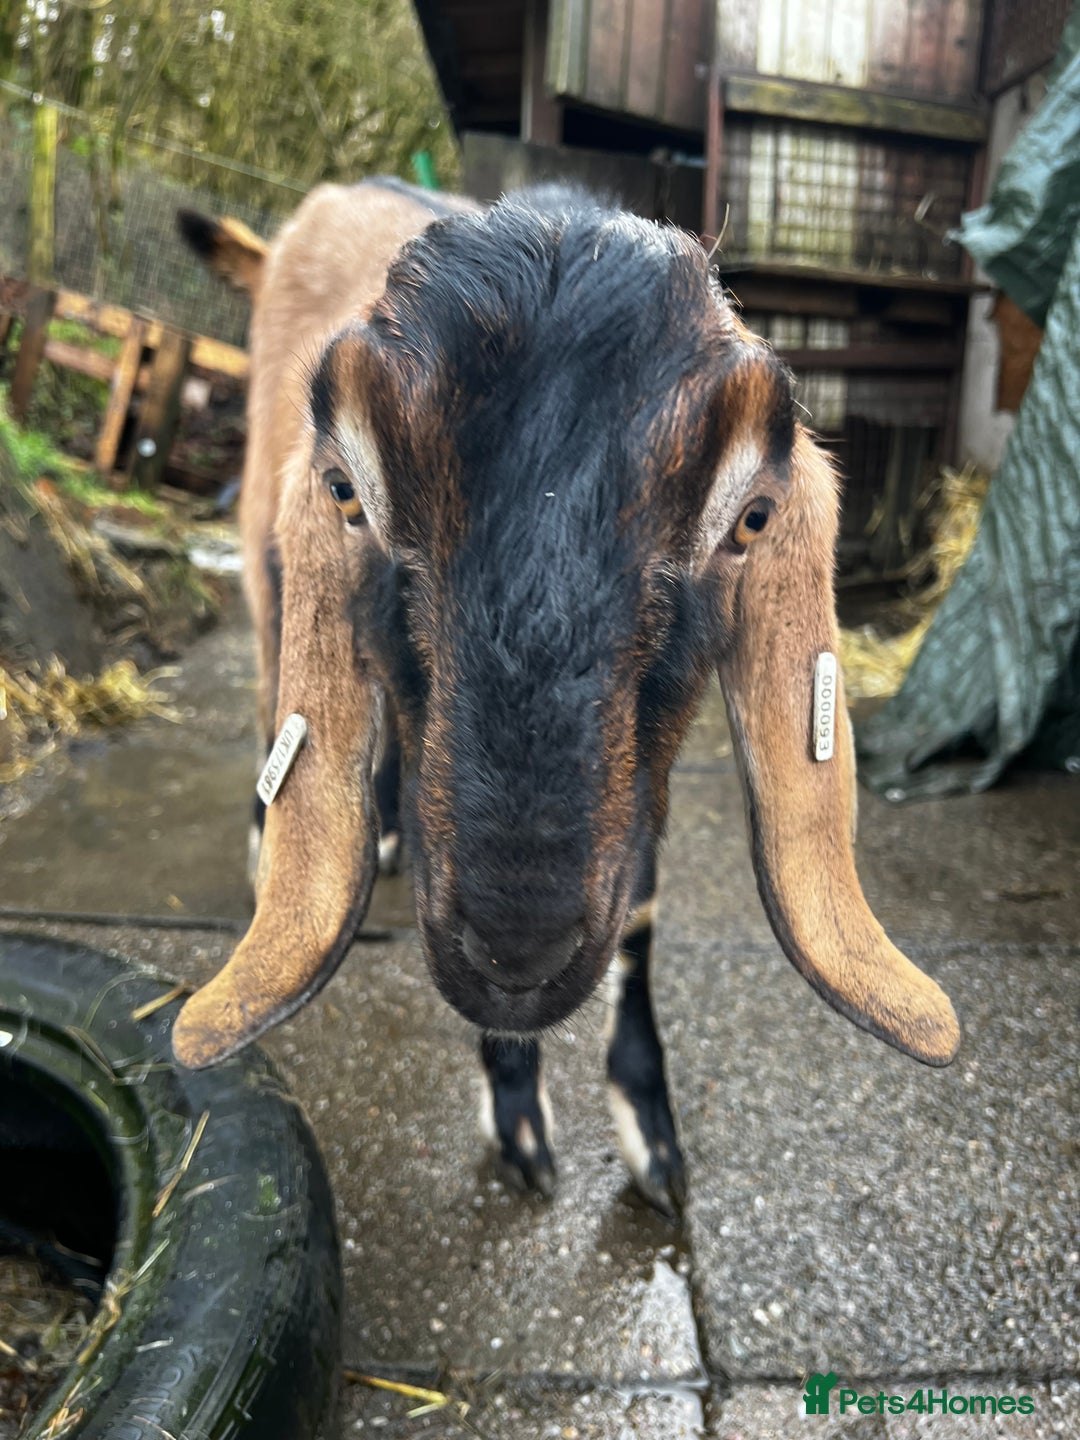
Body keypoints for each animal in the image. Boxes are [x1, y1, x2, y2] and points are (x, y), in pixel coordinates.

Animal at [173, 179, 959, 1213]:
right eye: (346, 492)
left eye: (751, 519)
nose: (518, 953)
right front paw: (517, 1114)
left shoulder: (634, 808)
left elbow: (640, 911)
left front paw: (650, 1135)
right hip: (266, 560)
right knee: (276, 682)